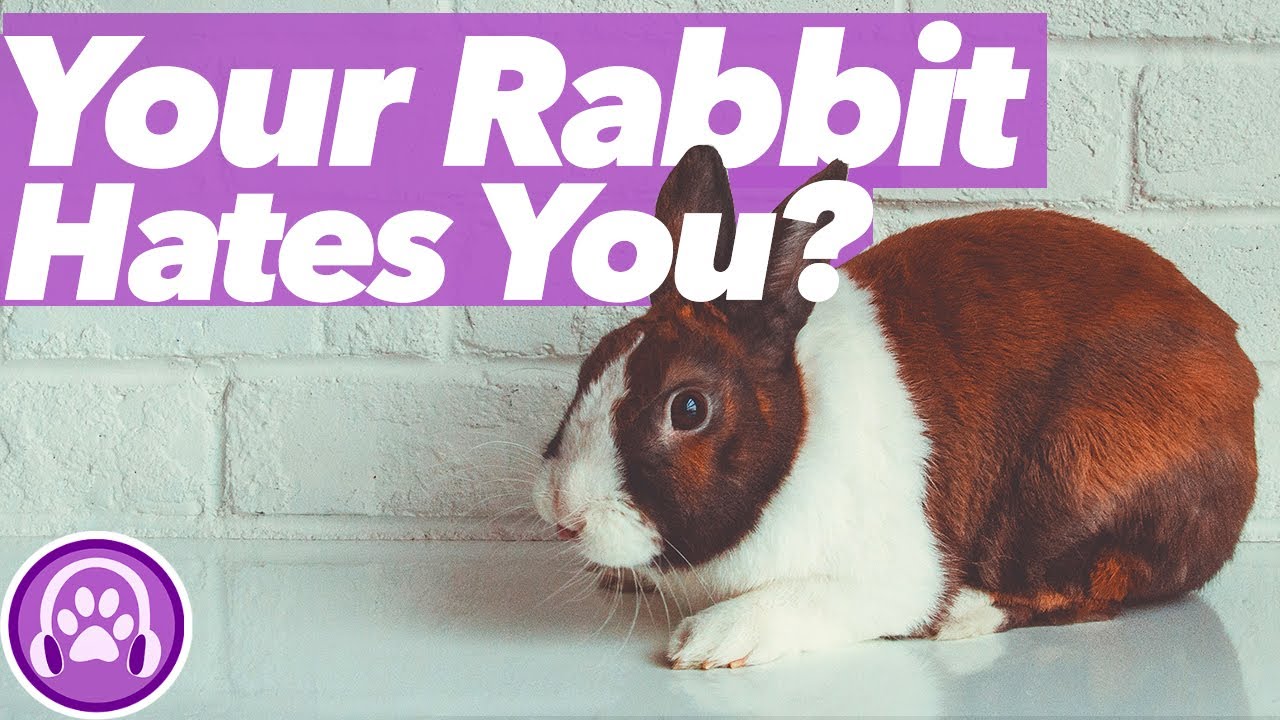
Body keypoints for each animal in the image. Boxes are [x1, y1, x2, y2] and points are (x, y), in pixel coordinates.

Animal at [532, 144, 1259, 670]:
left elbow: (812, 599)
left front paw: (709, 641)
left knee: (1095, 587)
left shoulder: (887, 575)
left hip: (1073, 480)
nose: (563, 513)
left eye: (687, 409)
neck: (799, 434)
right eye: (592, 365)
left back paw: (964, 615)